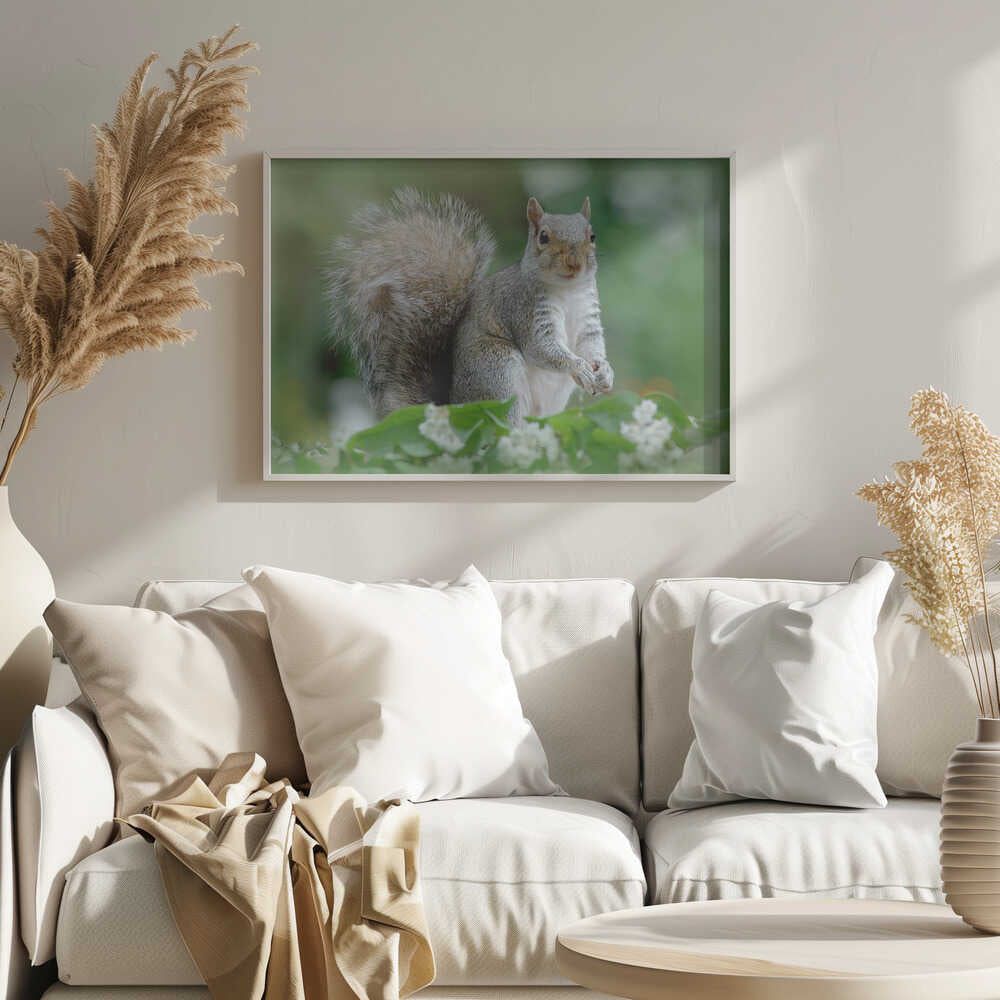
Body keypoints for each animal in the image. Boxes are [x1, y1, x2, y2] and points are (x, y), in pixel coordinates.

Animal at [327, 187, 613, 424]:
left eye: (592, 236)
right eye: (543, 237)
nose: (575, 264)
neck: (568, 291)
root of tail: (455, 409)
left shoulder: (588, 317)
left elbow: (591, 344)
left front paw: (605, 371)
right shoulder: (523, 309)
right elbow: (541, 348)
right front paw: (578, 367)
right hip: (496, 372)